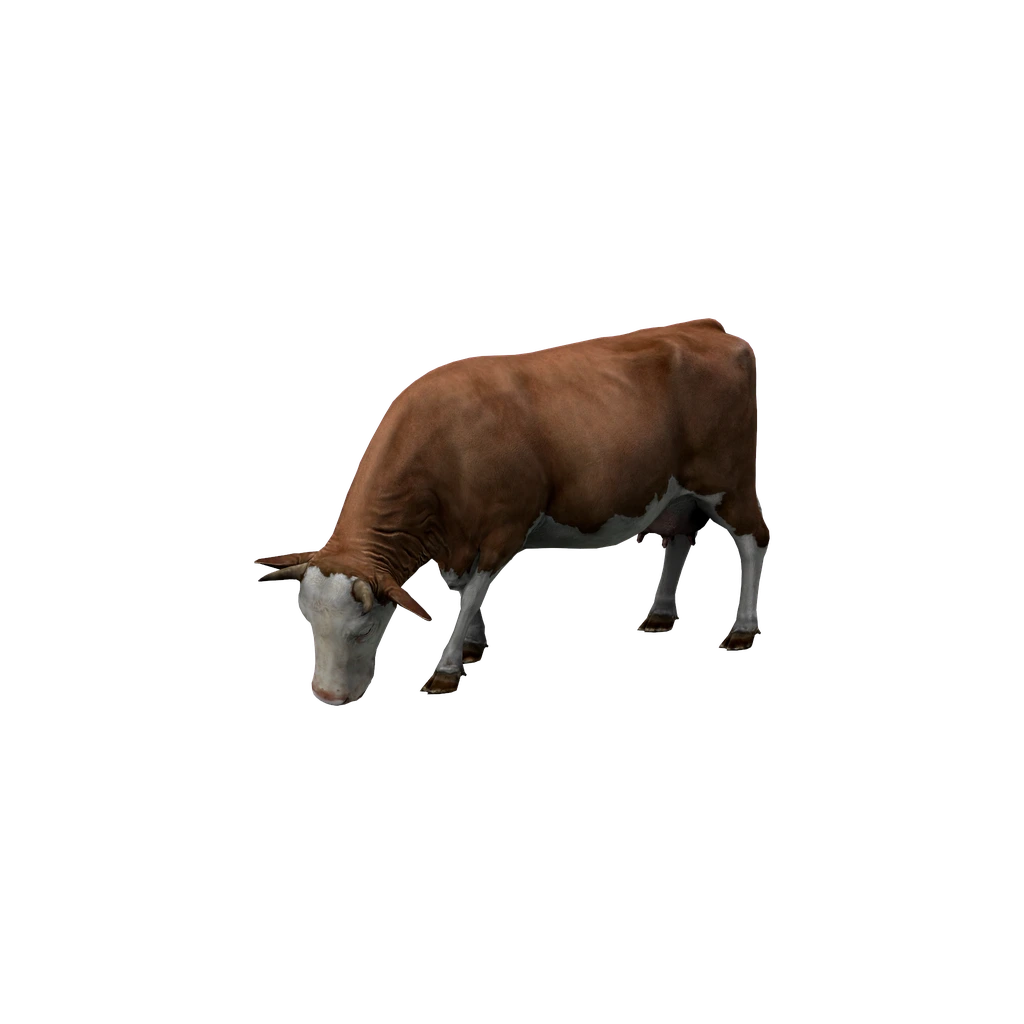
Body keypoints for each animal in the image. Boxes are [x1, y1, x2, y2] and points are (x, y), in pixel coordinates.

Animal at [255, 318, 769, 704]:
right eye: (308, 624)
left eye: (362, 631)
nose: (326, 696)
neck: (447, 446)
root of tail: (705, 326)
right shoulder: (457, 537)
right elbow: (462, 590)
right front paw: (471, 647)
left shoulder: (504, 527)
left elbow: (471, 594)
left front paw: (446, 668)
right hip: (678, 492)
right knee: (680, 535)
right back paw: (659, 615)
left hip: (728, 482)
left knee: (752, 541)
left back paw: (742, 631)